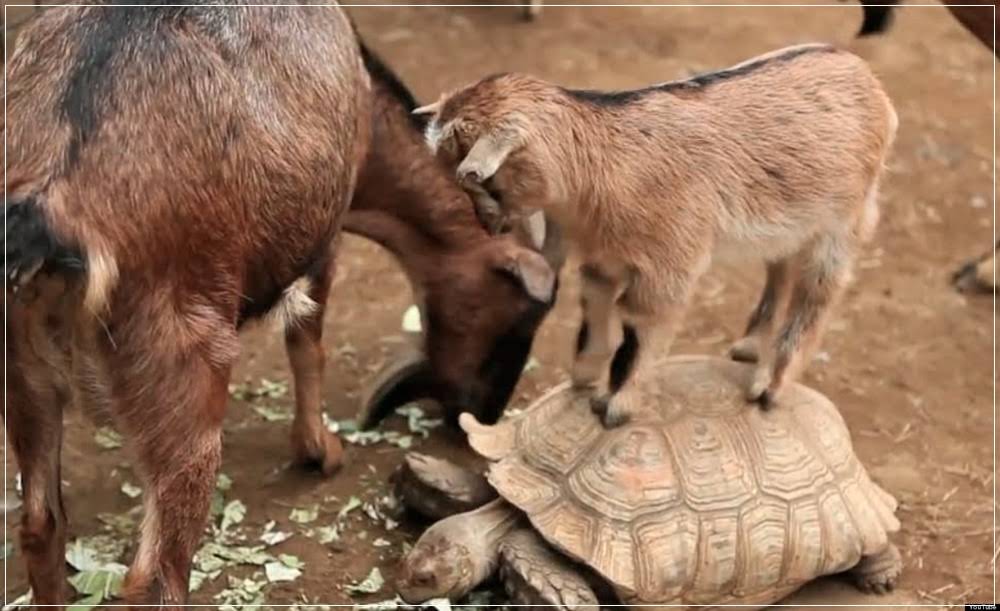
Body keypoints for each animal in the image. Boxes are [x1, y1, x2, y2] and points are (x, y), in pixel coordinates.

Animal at [420, 44, 900, 426]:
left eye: (481, 178)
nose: (490, 225)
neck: (603, 165)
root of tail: (870, 82)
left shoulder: (668, 263)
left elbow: (640, 325)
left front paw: (616, 407)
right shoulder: (606, 255)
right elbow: (593, 302)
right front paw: (585, 373)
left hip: (843, 221)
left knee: (818, 293)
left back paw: (771, 386)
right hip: (793, 221)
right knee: (779, 266)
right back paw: (749, 347)